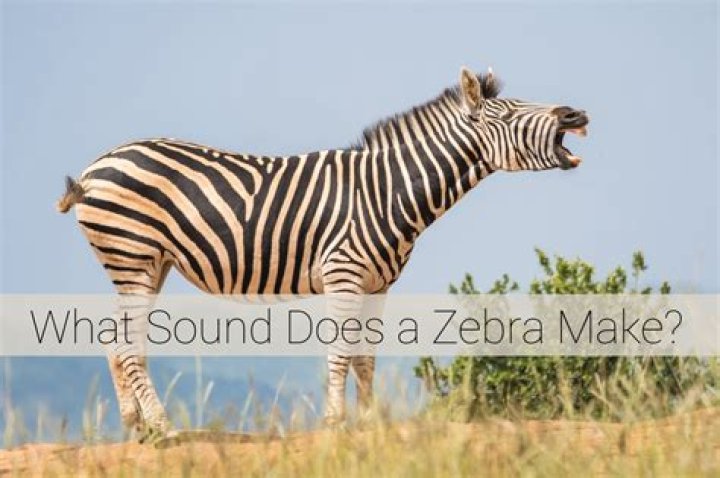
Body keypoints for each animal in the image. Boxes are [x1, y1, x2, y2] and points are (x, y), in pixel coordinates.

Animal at [57, 66, 588, 440]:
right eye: (511, 114)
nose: (575, 115)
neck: (387, 191)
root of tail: (95, 166)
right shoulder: (343, 273)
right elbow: (339, 352)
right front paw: (336, 423)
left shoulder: (378, 284)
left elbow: (366, 357)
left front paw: (370, 423)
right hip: (132, 254)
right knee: (127, 344)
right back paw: (165, 429)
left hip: (149, 263)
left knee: (117, 340)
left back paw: (138, 427)